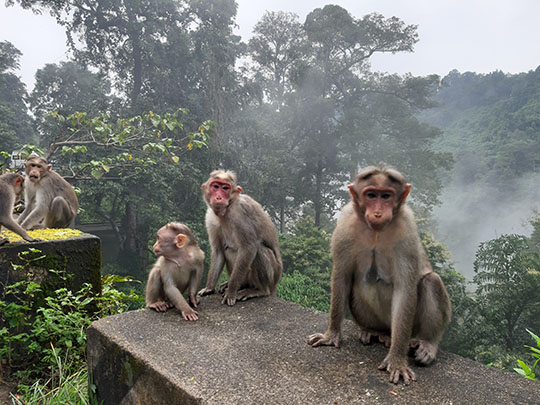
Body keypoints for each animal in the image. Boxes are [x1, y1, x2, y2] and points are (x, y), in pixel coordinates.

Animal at [197, 169, 282, 304]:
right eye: (216, 186)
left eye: (225, 188)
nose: (219, 197)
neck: (227, 209)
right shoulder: (210, 217)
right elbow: (219, 250)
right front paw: (209, 288)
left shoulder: (240, 214)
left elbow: (249, 247)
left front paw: (231, 292)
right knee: (228, 249)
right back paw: (239, 285)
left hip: (273, 277)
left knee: (259, 249)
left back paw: (259, 290)